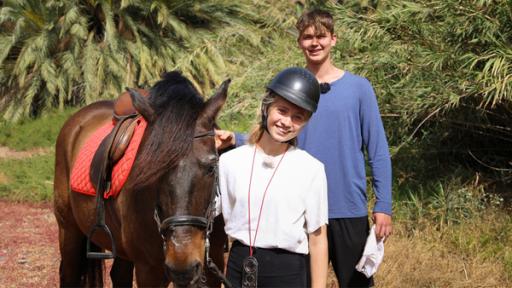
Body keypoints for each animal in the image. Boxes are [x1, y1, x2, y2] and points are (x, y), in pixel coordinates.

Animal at [53, 71, 228, 286]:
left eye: (211, 167)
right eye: (151, 170)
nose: (182, 263)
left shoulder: (214, 265)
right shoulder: (149, 270)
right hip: (68, 229)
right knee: (69, 273)